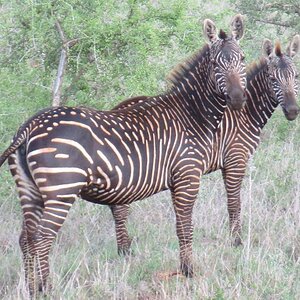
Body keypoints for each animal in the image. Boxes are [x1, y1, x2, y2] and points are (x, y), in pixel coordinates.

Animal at [0, 15, 246, 294]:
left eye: (243, 59)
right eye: (216, 64)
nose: (238, 99)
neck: (191, 114)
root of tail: (30, 125)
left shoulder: (179, 179)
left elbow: (181, 225)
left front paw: (186, 269)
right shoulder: (187, 175)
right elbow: (184, 226)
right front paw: (188, 272)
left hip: (30, 190)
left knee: (27, 238)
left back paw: (32, 288)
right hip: (60, 189)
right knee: (42, 238)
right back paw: (49, 288)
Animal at [108, 35, 300, 253]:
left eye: (296, 77)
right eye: (273, 79)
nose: (293, 111)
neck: (245, 113)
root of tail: (118, 107)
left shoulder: (227, 163)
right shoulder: (236, 159)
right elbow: (234, 203)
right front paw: (237, 242)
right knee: (120, 208)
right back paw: (125, 251)